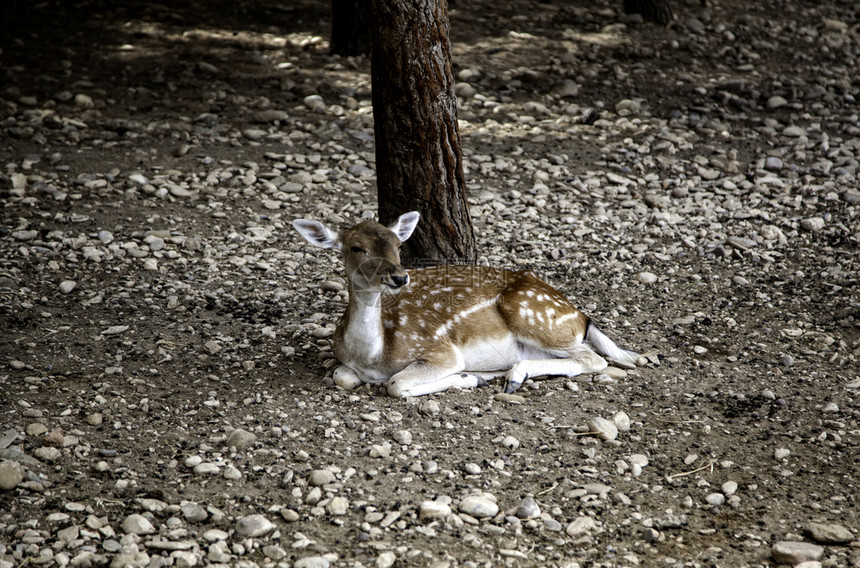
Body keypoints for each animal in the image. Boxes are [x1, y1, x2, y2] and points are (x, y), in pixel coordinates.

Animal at [292, 211, 636, 398]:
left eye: (398, 244)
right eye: (356, 247)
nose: (399, 277)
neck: (373, 355)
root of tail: (581, 317)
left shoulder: (440, 350)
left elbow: (396, 383)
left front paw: (467, 377)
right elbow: (343, 375)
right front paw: (473, 377)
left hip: (534, 315)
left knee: (593, 358)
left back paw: (511, 375)